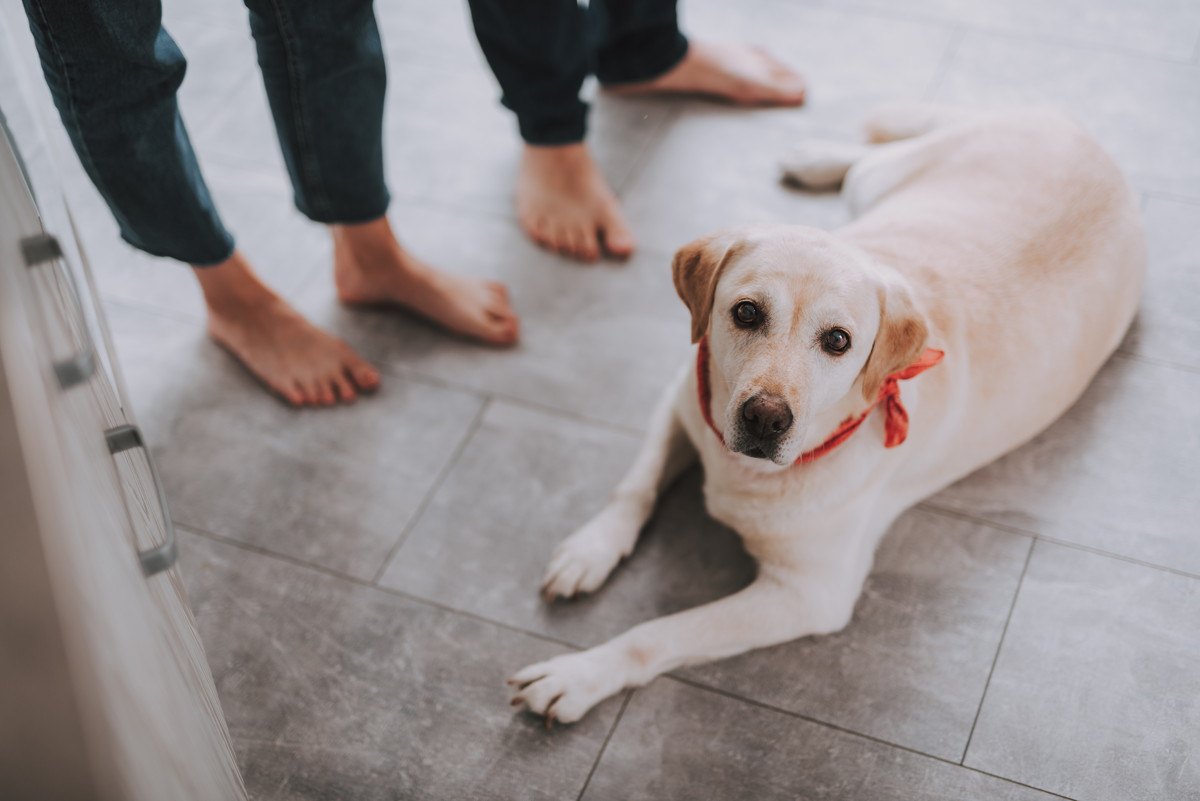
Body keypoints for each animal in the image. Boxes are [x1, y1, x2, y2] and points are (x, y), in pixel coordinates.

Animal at [506, 103, 1142, 724]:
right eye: (745, 312)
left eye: (838, 340)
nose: (766, 419)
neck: (747, 471)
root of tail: (1075, 130)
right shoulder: (683, 400)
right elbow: (633, 488)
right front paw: (588, 552)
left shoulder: (808, 595)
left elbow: (657, 634)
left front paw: (579, 675)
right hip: (879, 185)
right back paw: (815, 157)